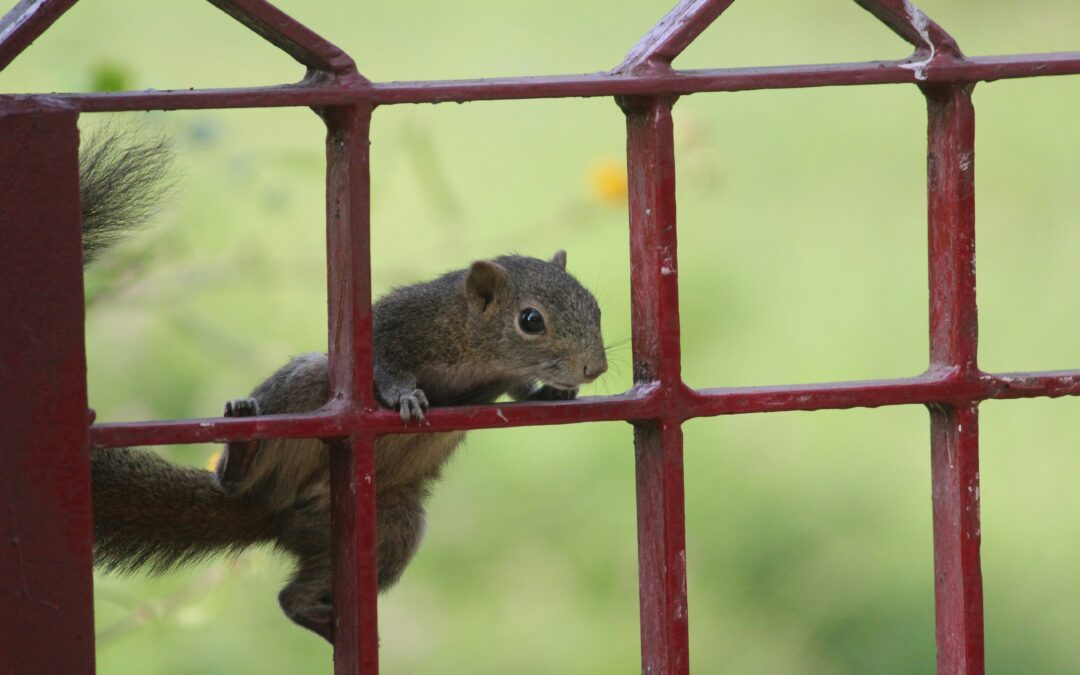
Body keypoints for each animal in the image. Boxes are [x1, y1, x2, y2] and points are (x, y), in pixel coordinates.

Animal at [83, 130, 609, 643]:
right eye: (530, 320)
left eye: (596, 305)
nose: (596, 368)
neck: (475, 345)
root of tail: (274, 511)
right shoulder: (397, 325)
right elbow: (385, 363)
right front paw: (407, 396)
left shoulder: (503, 376)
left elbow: (521, 389)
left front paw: (552, 392)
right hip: (307, 391)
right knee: (240, 479)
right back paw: (242, 456)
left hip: (392, 526)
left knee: (291, 597)